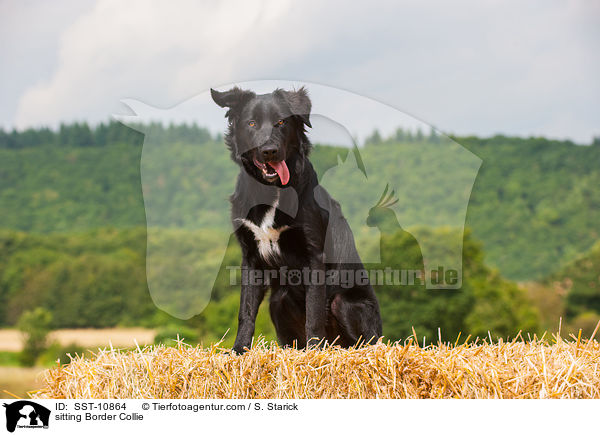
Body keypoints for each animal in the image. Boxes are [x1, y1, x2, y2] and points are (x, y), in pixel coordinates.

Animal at [211, 87, 380, 352]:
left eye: (281, 122)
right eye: (251, 123)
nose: (269, 150)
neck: (271, 191)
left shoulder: (314, 255)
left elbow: (314, 313)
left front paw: (315, 353)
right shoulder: (251, 257)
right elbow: (245, 312)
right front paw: (239, 350)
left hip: (344, 303)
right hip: (278, 302)